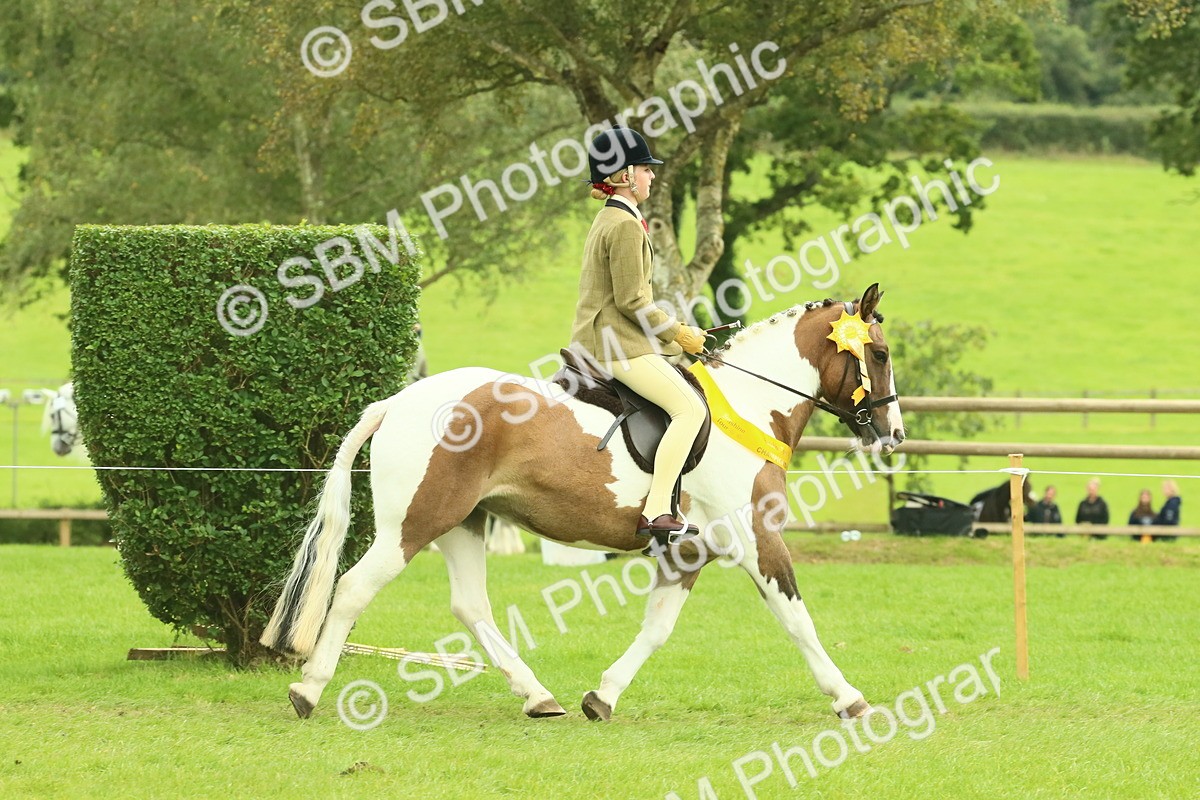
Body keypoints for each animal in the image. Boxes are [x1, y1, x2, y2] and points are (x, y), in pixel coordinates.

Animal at [261, 284, 904, 722]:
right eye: (880, 354)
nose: (893, 435)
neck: (747, 408)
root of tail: (398, 400)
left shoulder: (688, 554)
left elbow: (656, 630)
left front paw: (603, 696)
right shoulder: (756, 539)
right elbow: (797, 619)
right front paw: (850, 698)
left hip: (465, 521)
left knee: (471, 606)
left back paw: (538, 697)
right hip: (414, 523)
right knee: (352, 589)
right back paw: (307, 690)